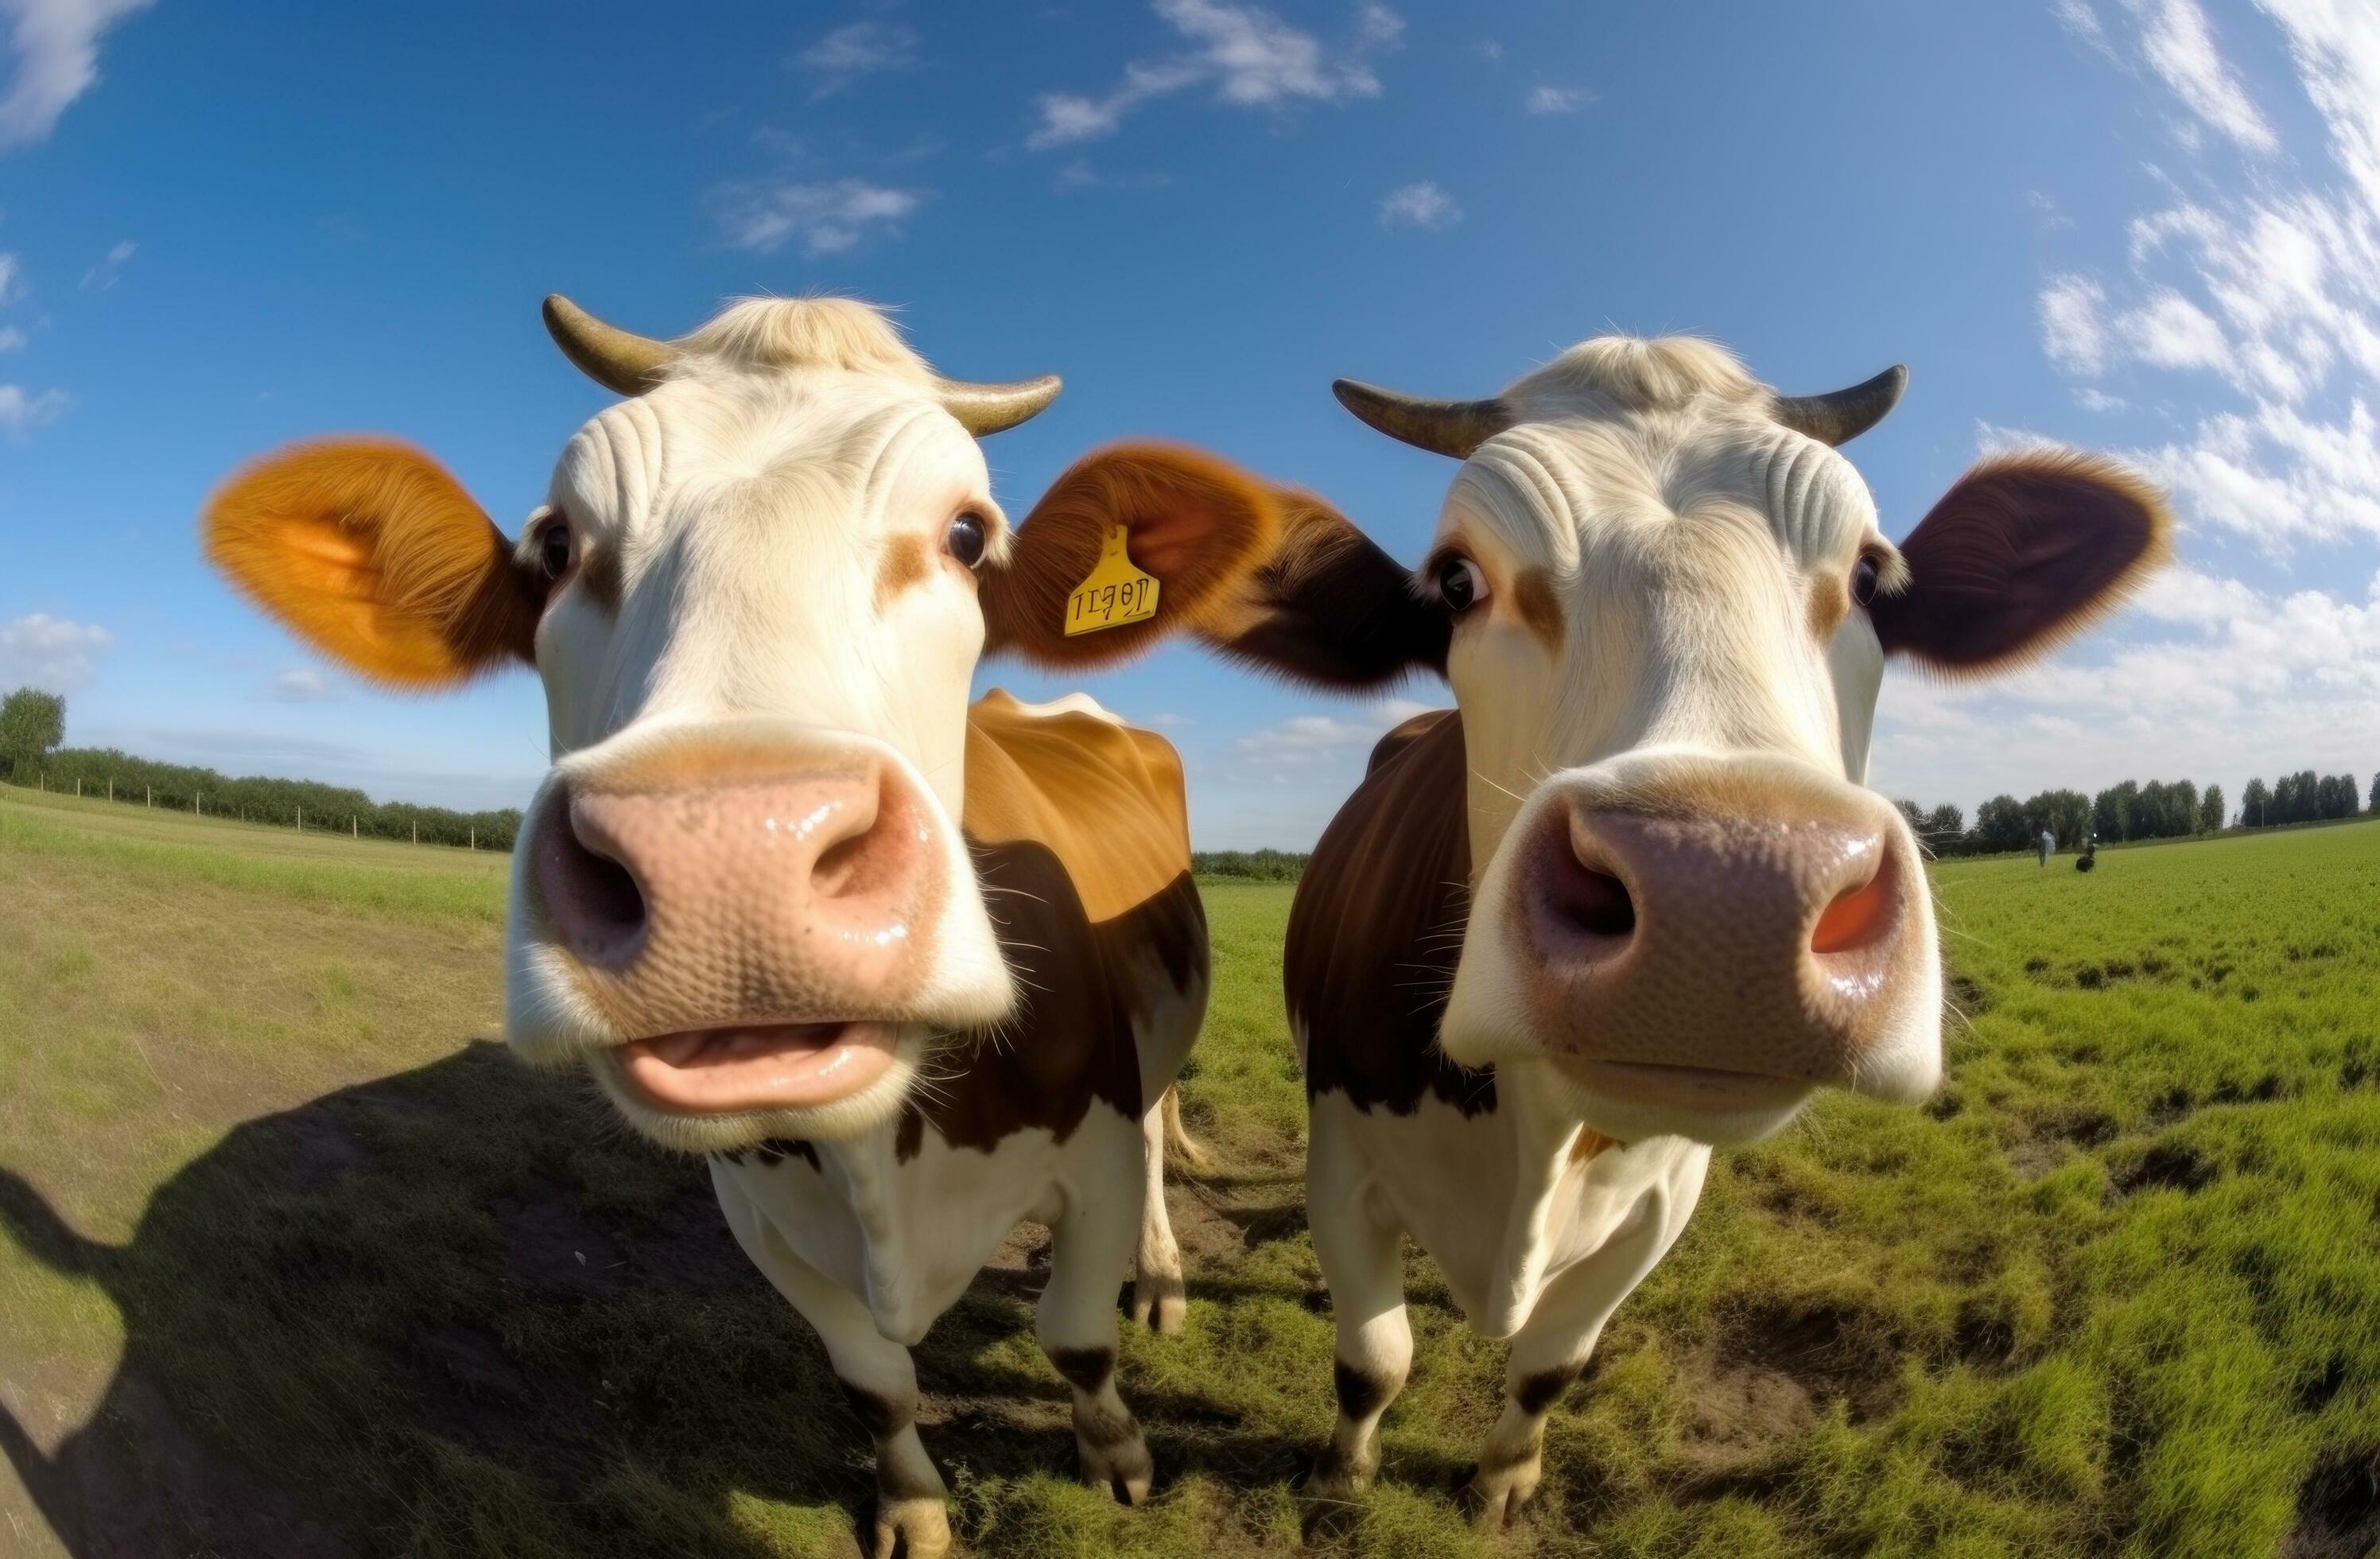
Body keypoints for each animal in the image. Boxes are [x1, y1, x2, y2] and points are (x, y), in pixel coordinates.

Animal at [199, 295, 1313, 1558]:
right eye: (556, 546)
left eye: (967, 534)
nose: (727, 862)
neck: (889, 1159)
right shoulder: (763, 1219)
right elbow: (874, 1382)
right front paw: (913, 1508)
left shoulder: (1095, 1152)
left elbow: (1076, 1336)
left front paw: (1117, 1453)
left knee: (1164, 1140)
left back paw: (1163, 1276)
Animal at [1193, 336, 2170, 1521]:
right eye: (1457, 582)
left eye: (1871, 576)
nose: (1728, 894)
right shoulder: (1341, 1158)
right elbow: (1372, 1358)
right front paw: (1342, 1475)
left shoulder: (1661, 1203)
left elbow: (1550, 1366)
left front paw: (1504, 1480)